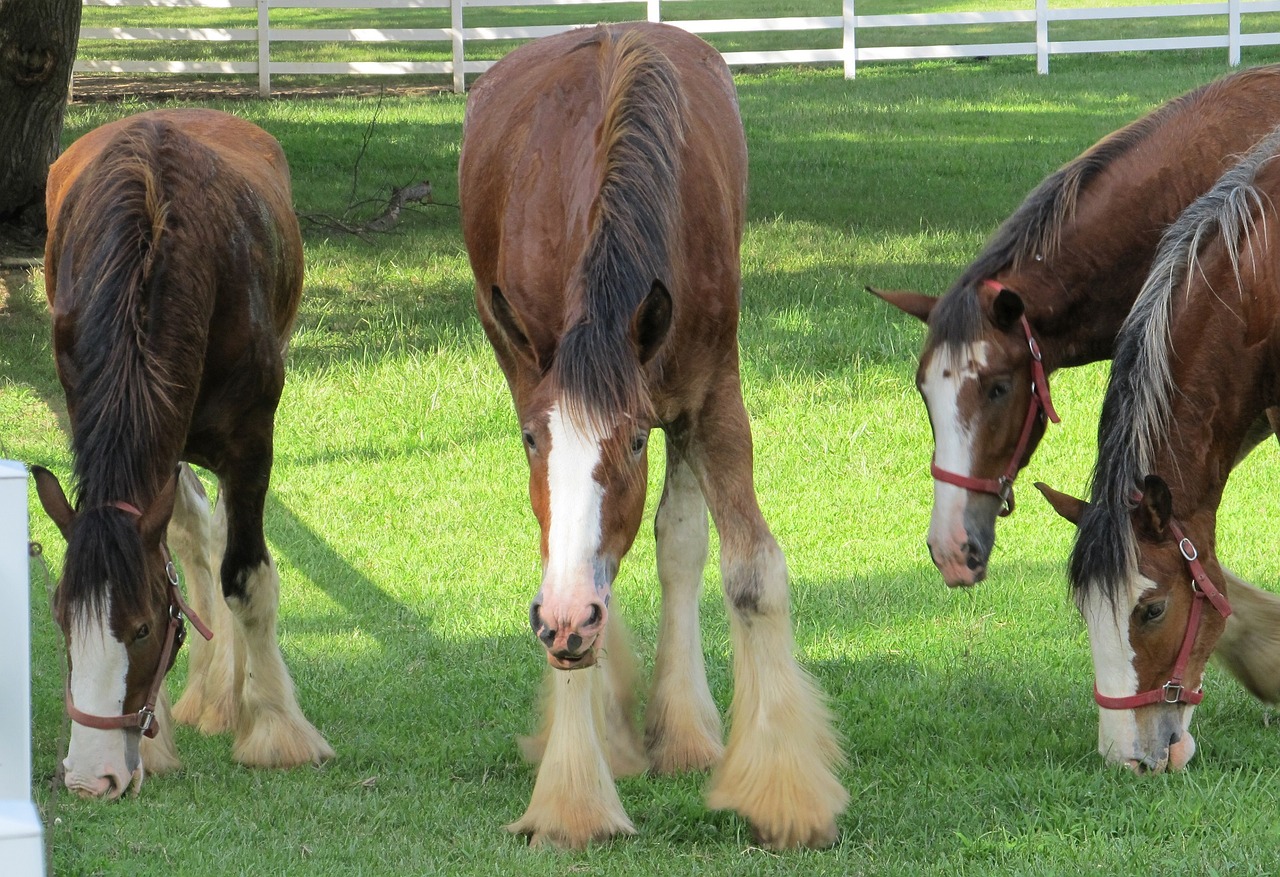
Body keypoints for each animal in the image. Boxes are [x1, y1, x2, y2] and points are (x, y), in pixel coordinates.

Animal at [31, 106, 332, 798]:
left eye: (142, 627)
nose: (90, 779)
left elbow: (245, 578)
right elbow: (178, 555)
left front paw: (275, 729)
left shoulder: (250, 447)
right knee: (196, 539)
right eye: (61, 620)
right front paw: (158, 738)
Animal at [460, 22, 849, 850]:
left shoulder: (710, 398)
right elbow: (570, 576)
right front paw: (574, 797)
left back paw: (685, 729)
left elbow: (748, 569)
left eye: (634, 441)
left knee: (678, 545)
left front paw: (783, 789)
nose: (564, 616)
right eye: (531, 441)